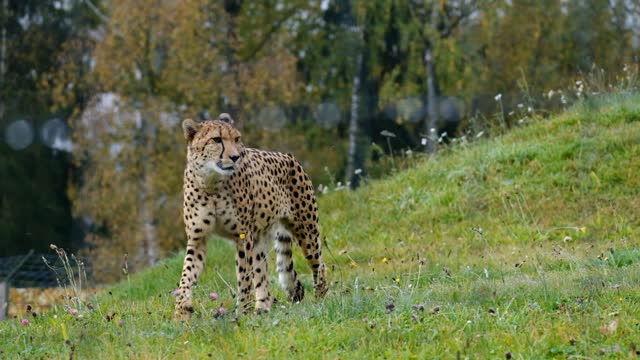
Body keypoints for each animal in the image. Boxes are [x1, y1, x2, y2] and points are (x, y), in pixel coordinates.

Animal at [174, 114, 328, 320]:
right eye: (217, 139)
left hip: (306, 231)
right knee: (262, 274)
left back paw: (321, 297)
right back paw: (263, 307)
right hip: (259, 241)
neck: (212, 182)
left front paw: (242, 312)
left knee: (319, 264)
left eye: (237, 139)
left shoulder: (242, 236)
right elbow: (186, 274)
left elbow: (244, 276)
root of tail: (289, 156)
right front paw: (181, 310)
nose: (235, 156)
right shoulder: (198, 237)